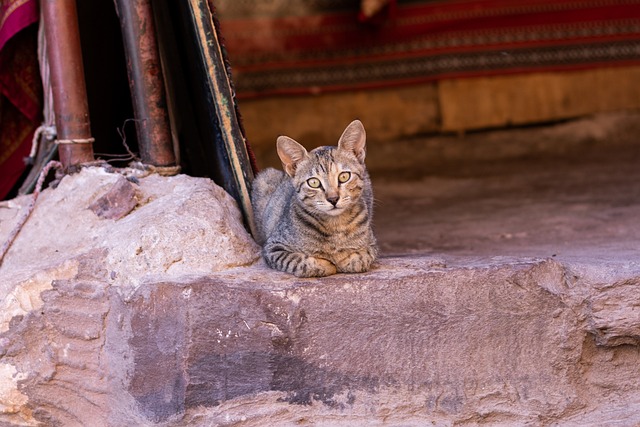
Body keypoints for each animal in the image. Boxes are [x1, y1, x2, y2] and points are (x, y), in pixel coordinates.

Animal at [251, 120, 380, 280]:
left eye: (344, 176)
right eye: (313, 182)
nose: (333, 198)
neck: (335, 225)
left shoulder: (372, 243)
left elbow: (363, 256)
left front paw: (347, 260)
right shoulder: (273, 247)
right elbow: (299, 261)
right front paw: (326, 265)